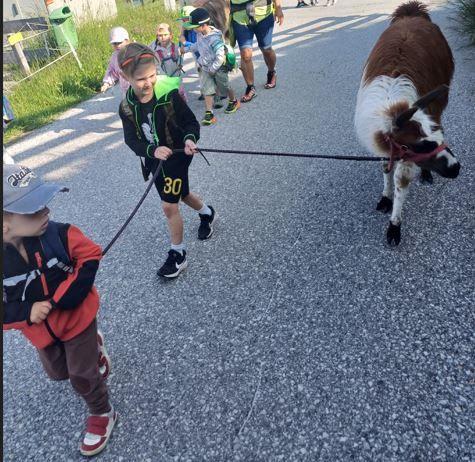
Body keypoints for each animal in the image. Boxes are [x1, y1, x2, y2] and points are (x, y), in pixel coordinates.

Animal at [354, 1, 460, 246]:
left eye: (441, 138)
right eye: (421, 146)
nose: (456, 168)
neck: (393, 103)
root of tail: (411, 13)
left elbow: (401, 180)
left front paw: (394, 227)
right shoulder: (390, 142)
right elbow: (386, 168)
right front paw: (385, 199)